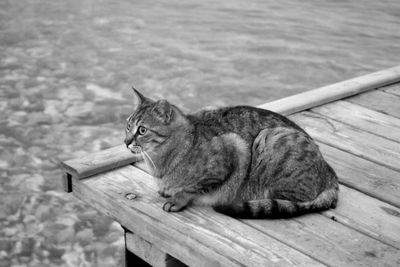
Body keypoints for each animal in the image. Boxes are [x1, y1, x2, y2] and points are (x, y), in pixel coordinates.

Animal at [124, 89, 338, 219]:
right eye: (128, 125)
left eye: (142, 130)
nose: (126, 142)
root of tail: (329, 171)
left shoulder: (232, 151)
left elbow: (194, 188)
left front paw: (178, 198)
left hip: (270, 141)